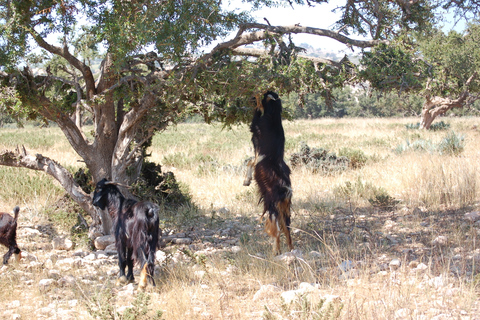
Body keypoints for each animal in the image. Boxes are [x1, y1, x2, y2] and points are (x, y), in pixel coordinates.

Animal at [246, 91, 294, 254]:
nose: (266, 92)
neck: (273, 117)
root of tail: (285, 191)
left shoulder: (256, 133)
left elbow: (249, 162)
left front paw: (246, 180)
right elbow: (250, 162)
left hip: (272, 206)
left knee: (277, 231)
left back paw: (276, 251)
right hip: (283, 211)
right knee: (287, 230)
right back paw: (290, 250)